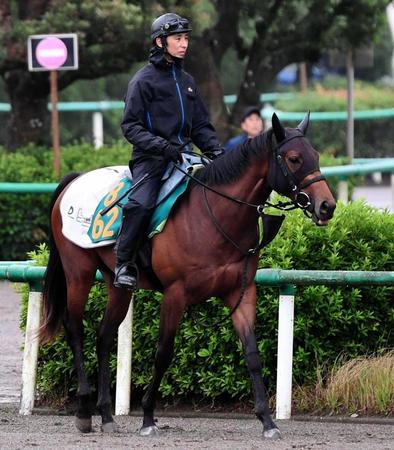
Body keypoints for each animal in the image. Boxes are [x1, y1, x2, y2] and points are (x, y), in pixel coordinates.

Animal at [39, 112, 336, 440]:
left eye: (316, 156)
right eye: (294, 159)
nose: (327, 206)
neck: (212, 217)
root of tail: (74, 179)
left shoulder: (241, 293)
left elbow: (252, 354)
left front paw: (267, 421)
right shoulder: (175, 294)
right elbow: (163, 353)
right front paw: (148, 416)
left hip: (117, 285)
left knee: (103, 337)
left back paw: (105, 414)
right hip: (78, 272)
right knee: (75, 330)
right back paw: (83, 410)